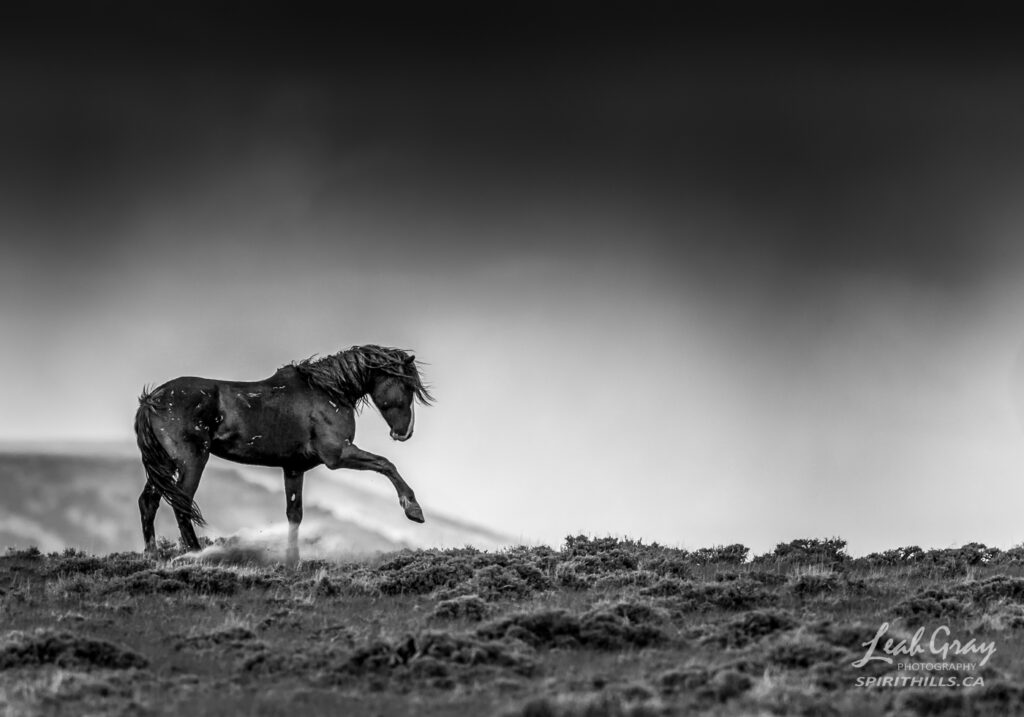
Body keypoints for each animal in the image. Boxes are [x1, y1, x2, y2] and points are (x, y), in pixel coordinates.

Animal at [133, 344, 433, 564]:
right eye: (407, 386)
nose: (404, 432)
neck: (328, 391)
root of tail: (152, 400)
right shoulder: (337, 455)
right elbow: (386, 464)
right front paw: (413, 509)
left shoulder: (293, 468)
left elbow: (294, 515)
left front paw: (292, 561)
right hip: (191, 461)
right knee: (181, 505)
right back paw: (199, 555)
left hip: (165, 465)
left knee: (148, 502)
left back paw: (153, 556)